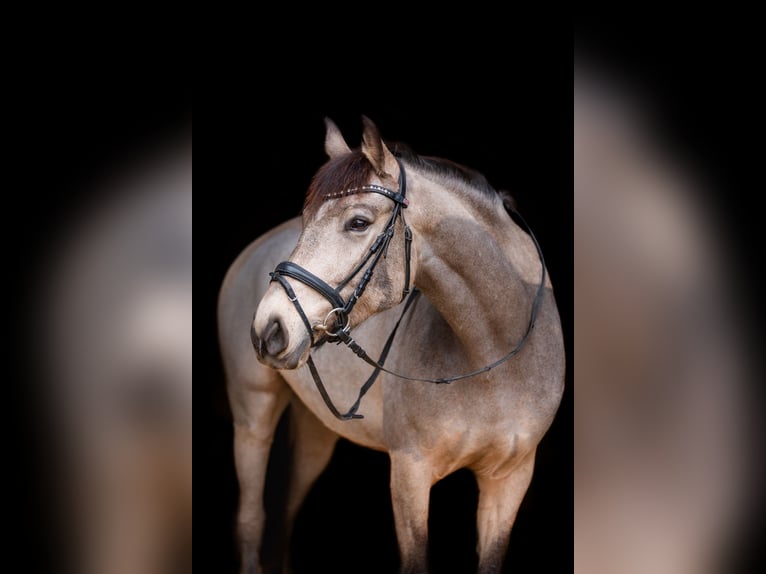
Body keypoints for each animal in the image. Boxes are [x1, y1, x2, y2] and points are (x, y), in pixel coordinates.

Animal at [218, 117, 565, 574]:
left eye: (358, 222)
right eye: (306, 217)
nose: (269, 328)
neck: (496, 360)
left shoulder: (509, 479)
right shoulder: (409, 472)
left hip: (317, 430)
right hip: (252, 419)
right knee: (251, 518)